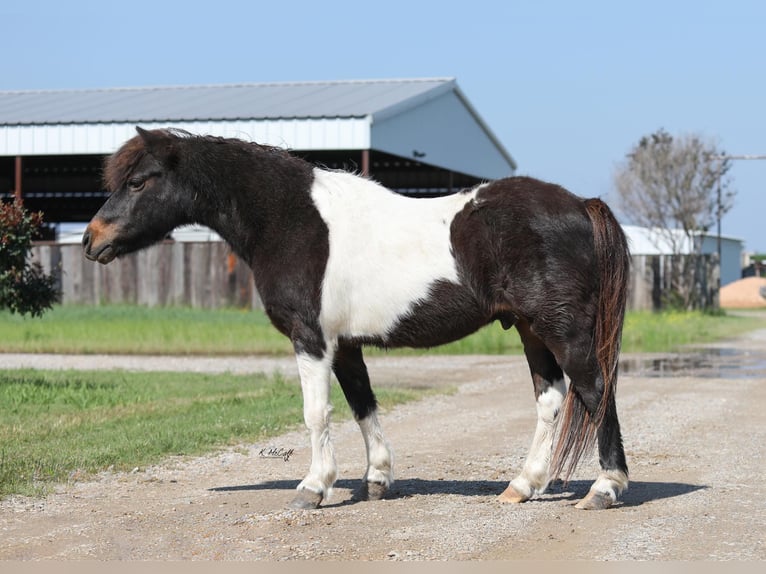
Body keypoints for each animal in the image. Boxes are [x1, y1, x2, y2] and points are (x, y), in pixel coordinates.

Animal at [82, 128, 632, 510]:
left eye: (138, 181)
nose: (91, 239)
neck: (290, 219)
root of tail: (581, 205)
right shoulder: (344, 344)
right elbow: (362, 405)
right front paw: (377, 480)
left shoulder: (311, 339)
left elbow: (316, 413)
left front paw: (313, 487)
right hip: (530, 329)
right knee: (552, 399)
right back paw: (522, 485)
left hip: (564, 331)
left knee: (595, 390)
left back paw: (605, 488)